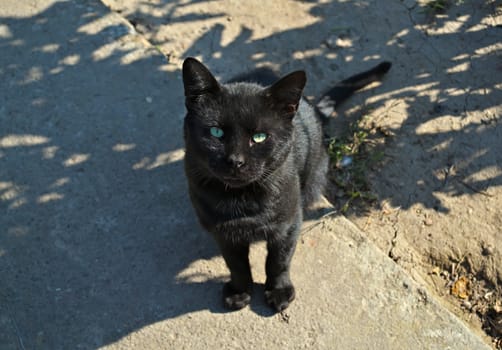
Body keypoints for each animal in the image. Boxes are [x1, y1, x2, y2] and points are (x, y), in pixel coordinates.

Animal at [182, 58, 390, 312]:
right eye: (216, 132)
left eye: (259, 137)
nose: (236, 161)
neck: (243, 201)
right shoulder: (223, 232)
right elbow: (236, 264)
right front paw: (240, 291)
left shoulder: (289, 223)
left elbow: (278, 261)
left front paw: (279, 291)